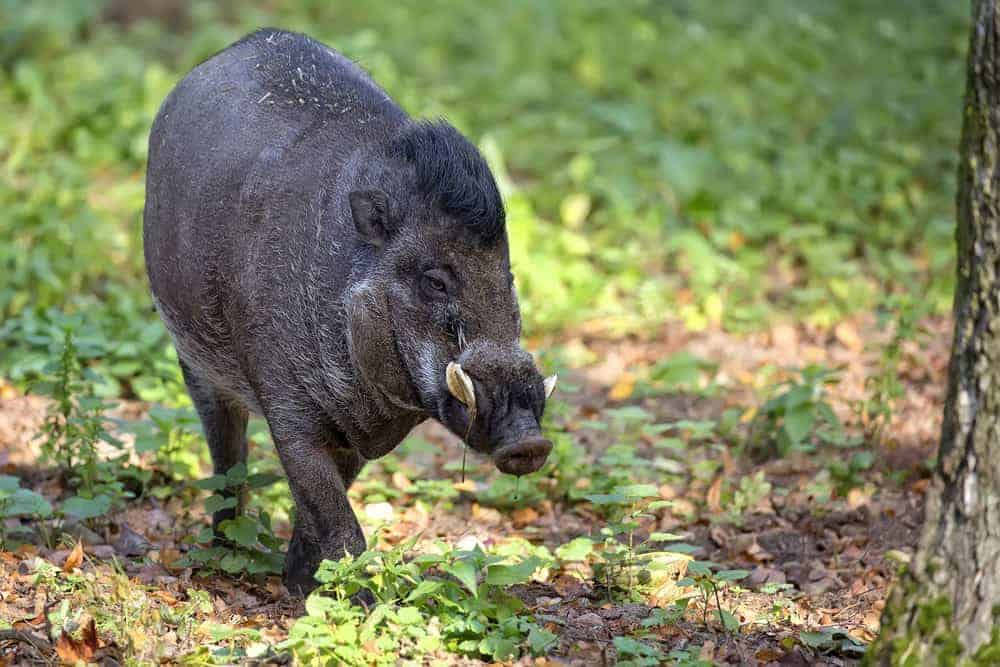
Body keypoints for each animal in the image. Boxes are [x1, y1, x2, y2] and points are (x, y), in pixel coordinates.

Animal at [143, 29, 557, 595]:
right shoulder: (285, 404)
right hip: (192, 358)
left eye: (509, 277)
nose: (529, 443)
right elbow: (335, 516)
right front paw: (345, 598)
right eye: (434, 280)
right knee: (227, 452)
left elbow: (324, 501)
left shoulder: (360, 435)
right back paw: (225, 545)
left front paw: (301, 582)